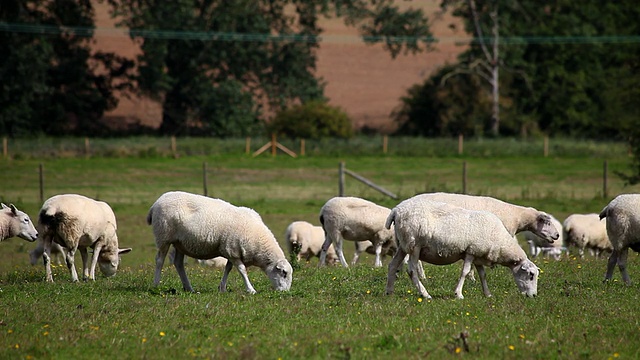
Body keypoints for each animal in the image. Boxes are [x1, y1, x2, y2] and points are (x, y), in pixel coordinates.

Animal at [148, 190, 292, 294]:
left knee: (178, 263)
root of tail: (156, 203)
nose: (285, 292)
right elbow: (242, 270)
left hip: (180, 243)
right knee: (159, 260)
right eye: (284, 273)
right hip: (163, 236)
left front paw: (222, 288)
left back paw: (189, 288)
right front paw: (251, 289)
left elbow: (228, 268)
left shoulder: (231, 250)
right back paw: (155, 285)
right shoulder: (232, 251)